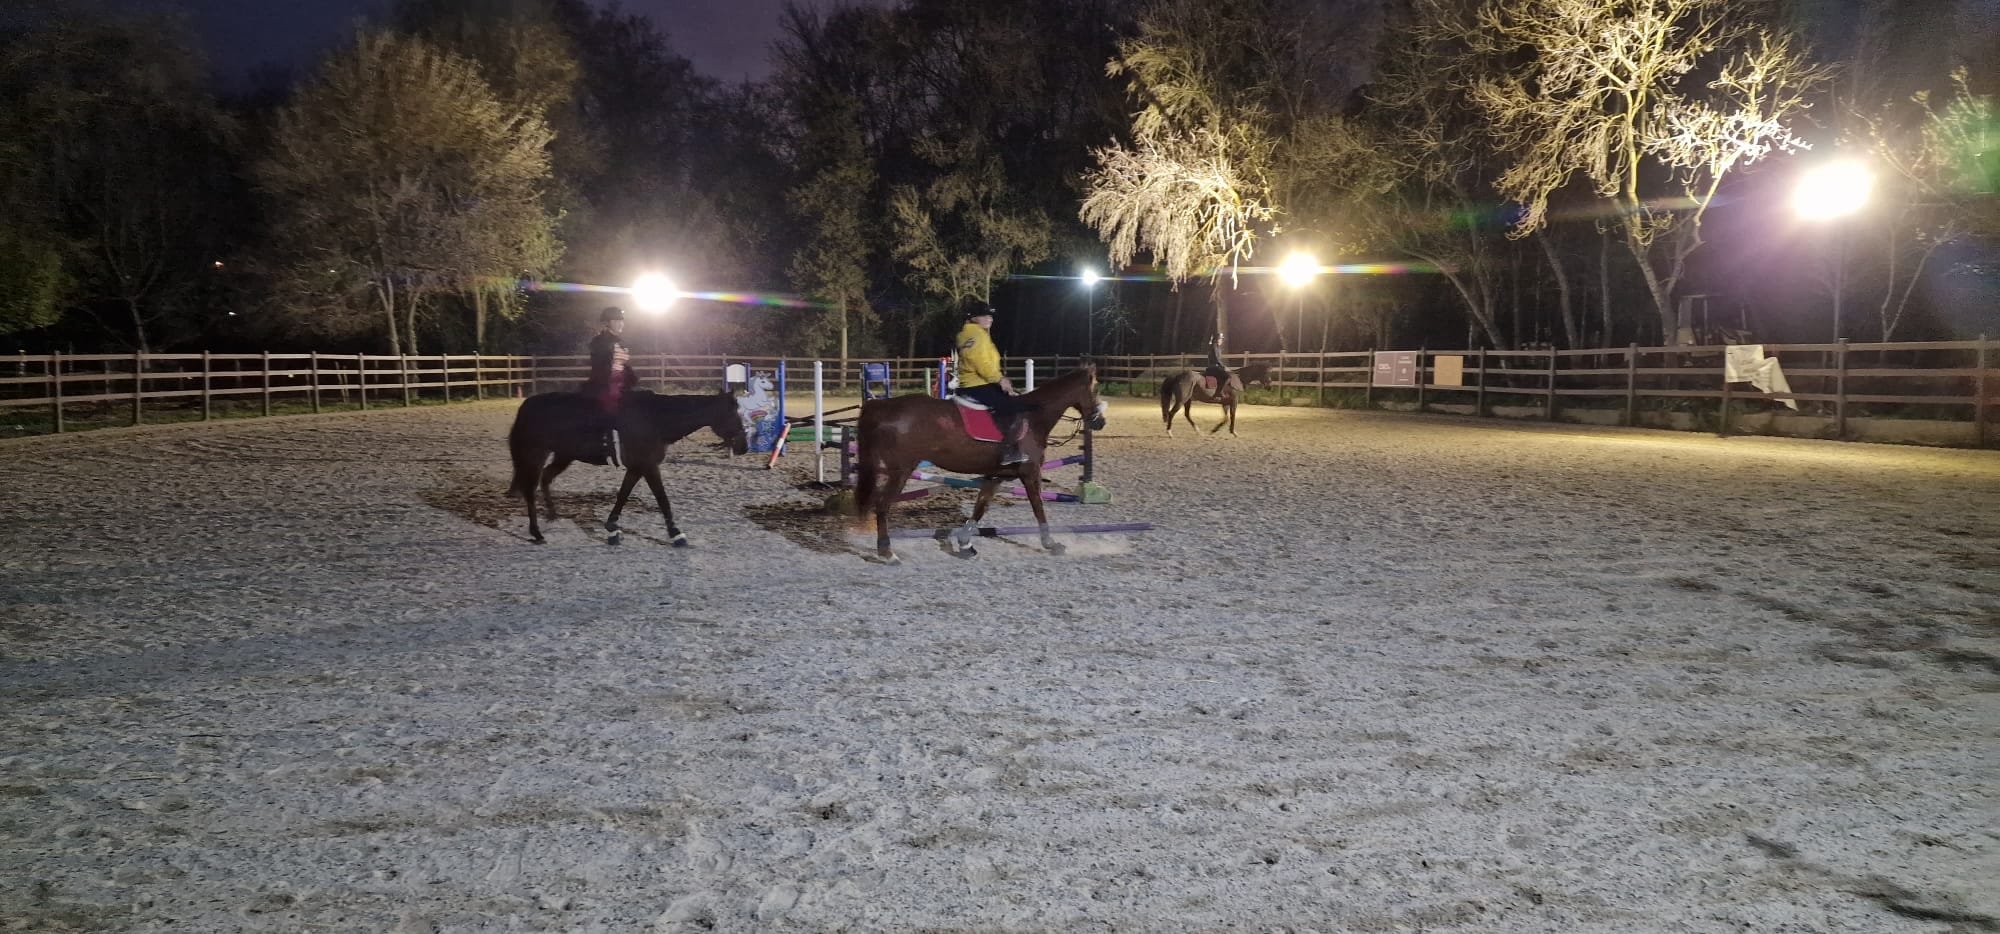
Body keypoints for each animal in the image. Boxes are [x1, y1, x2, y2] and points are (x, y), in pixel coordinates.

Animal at [504, 390, 748, 548]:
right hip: (535, 454)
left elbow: (623, 493)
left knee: (545, 478)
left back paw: (553, 515)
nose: (744, 446)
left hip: (564, 455)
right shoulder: (648, 466)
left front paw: (613, 528)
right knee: (530, 489)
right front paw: (676, 535)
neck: (655, 418)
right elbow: (662, 499)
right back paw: (536, 533)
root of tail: (527, 405)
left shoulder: (638, 467)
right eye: (732, 414)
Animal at [856, 364, 1112, 564]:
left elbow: (981, 507)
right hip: (900, 470)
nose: (1100, 423)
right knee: (882, 505)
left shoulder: (996, 476)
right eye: (1095, 388)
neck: (1033, 417)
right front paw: (1051, 544)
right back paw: (887, 553)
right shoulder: (1030, 473)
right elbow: (1038, 507)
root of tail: (882, 407)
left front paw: (965, 544)